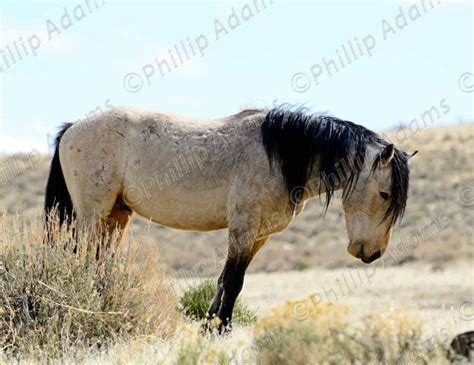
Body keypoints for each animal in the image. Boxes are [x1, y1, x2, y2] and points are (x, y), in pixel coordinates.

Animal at [45, 104, 414, 332]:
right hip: (91, 216)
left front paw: (211, 325)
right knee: (80, 259)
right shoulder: (243, 228)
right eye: (384, 194)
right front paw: (220, 327)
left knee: (100, 262)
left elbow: (226, 279)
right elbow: (234, 280)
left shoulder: (259, 235)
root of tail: (72, 128)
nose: (372, 253)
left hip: (116, 216)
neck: (280, 156)